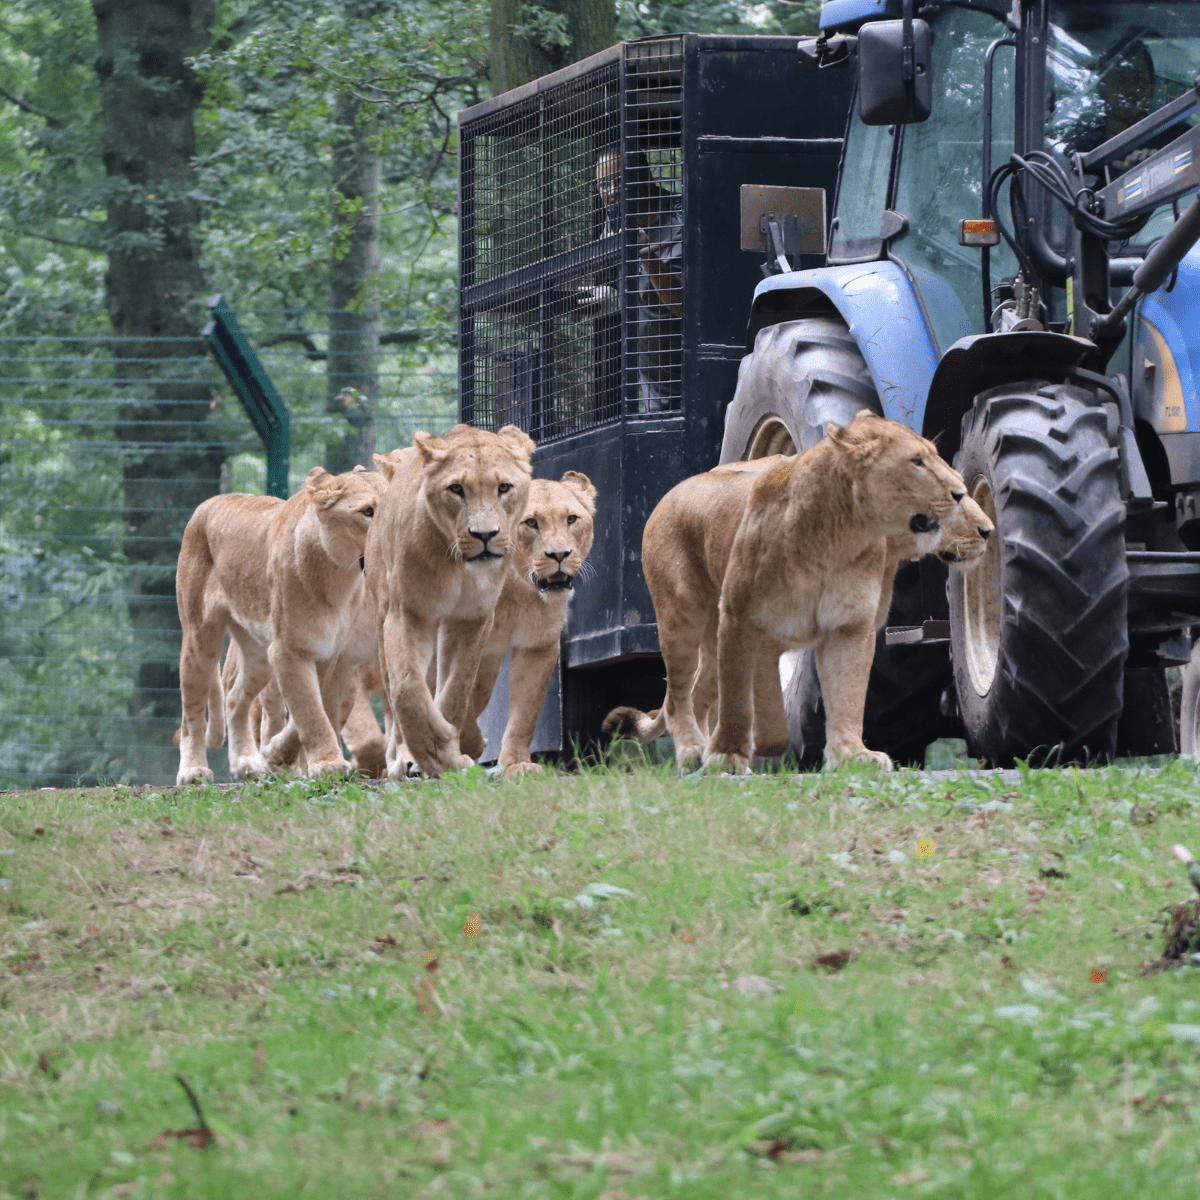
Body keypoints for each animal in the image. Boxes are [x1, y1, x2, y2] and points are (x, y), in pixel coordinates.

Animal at [175, 464, 384, 785]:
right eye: (367, 511)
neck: (339, 578)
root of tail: (209, 501)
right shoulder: (289, 650)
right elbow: (310, 710)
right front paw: (327, 763)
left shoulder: (329, 654)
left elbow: (314, 711)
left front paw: (276, 756)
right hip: (200, 641)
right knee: (191, 713)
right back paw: (192, 770)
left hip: (258, 654)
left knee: (235, 699)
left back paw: (247, 762)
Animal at [365, 423, 536, 778]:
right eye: (456, 489)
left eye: (504, 487)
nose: (484, 535)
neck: (458, 567)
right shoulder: (407, 613)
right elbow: (407, 688)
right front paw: (435, 754)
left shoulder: (473, 617)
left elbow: (459, 687)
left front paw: (453, 750)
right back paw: (404, 759)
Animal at [452, 472, 597, 775]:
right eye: (531, 523)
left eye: (571, 519)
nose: (560, 555)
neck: (516, 591)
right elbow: (455, 699)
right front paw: (468, 747)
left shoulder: (538, 647)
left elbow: (524, 714)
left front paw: (516, 764)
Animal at [624, 411, 970, 773]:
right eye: (917, 462)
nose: (962, 492)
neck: (836, 540)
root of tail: (671, 491)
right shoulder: (740, 619)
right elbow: (740, 699)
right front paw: (729, 755)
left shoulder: (849, 626)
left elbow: (848, 694)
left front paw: (852, 753)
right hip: (681, 618)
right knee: (678, 697)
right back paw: (693, 751)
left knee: (698, 693)